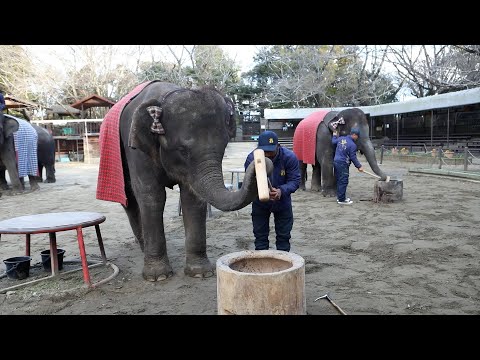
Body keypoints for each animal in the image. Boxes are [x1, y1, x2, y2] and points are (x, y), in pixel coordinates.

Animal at [97, 81, 270, 282]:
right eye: (182, 150)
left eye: (224, 146)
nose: (261, 159)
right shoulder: (136, 150)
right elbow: (152, 196)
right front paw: (158, 277)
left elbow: (192, 198)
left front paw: (201, 273)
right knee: (130, 200)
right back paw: (143, 248)